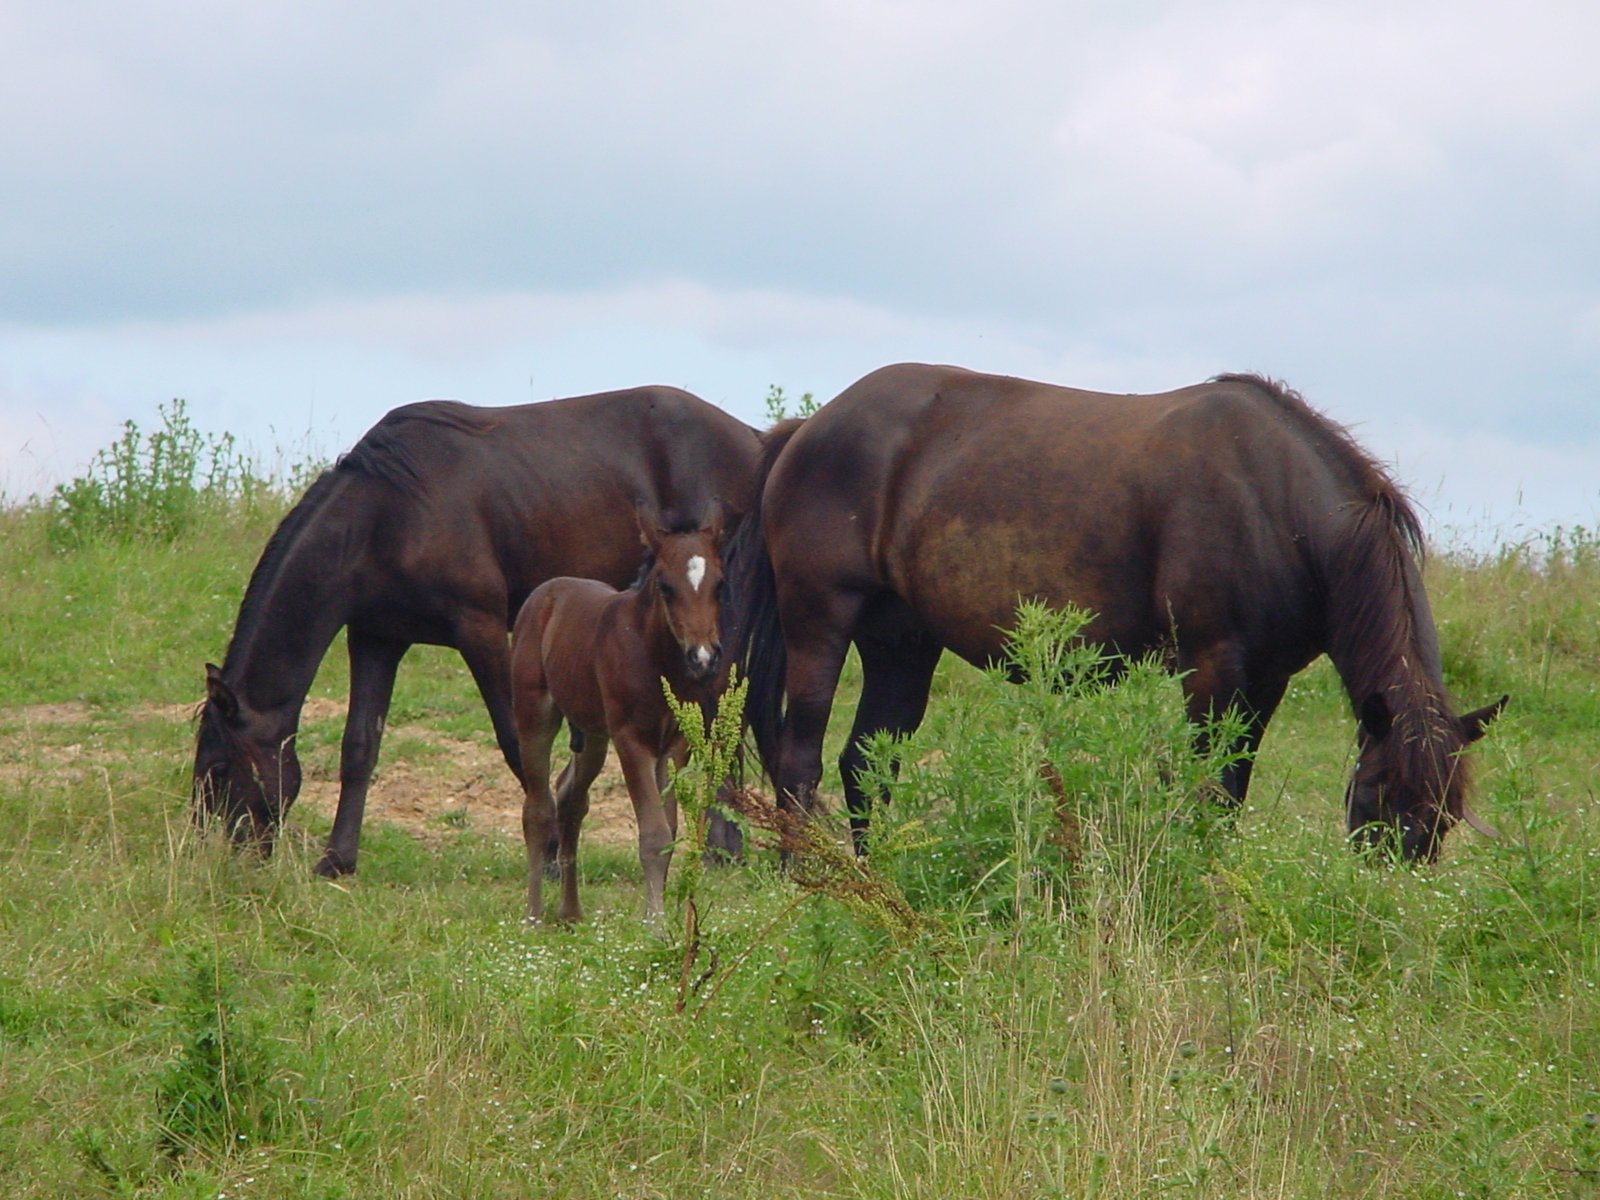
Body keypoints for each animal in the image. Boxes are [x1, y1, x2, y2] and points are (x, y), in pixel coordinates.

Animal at [192, 390, 755, 876]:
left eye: (218, 769)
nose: (216, 857)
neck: (386, 514)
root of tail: (751, 437)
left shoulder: (480, 629)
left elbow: (515, 741)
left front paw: (551, 852)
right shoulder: (375, 638)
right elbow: (359, 747)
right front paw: (338, 858)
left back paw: (723, 847)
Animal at [508, 508, 729, 921]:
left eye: (720, 584)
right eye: (665, 586)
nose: (703, 657)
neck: (653, 653)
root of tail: (546, 592)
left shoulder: (673, 744)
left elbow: (668, 828)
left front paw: (659, 917)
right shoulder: (631, 739)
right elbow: (654, 831)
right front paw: (656, 923)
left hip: (593, 733)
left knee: (571, 798)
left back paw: (571, 912)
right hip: (535, 714)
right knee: (539, 808)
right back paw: (534, 915)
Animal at [732, 361, 1504, 857]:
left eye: (1441, 821)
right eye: (1374, 797)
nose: (1385, 887)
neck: (1275, 502)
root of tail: (809, 428)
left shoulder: (1267, 681)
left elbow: (1232, 791)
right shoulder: (1211, 668)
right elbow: (1208, 790)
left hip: (902, 645)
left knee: (868, 766)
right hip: (820, 625)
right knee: (799, 764)